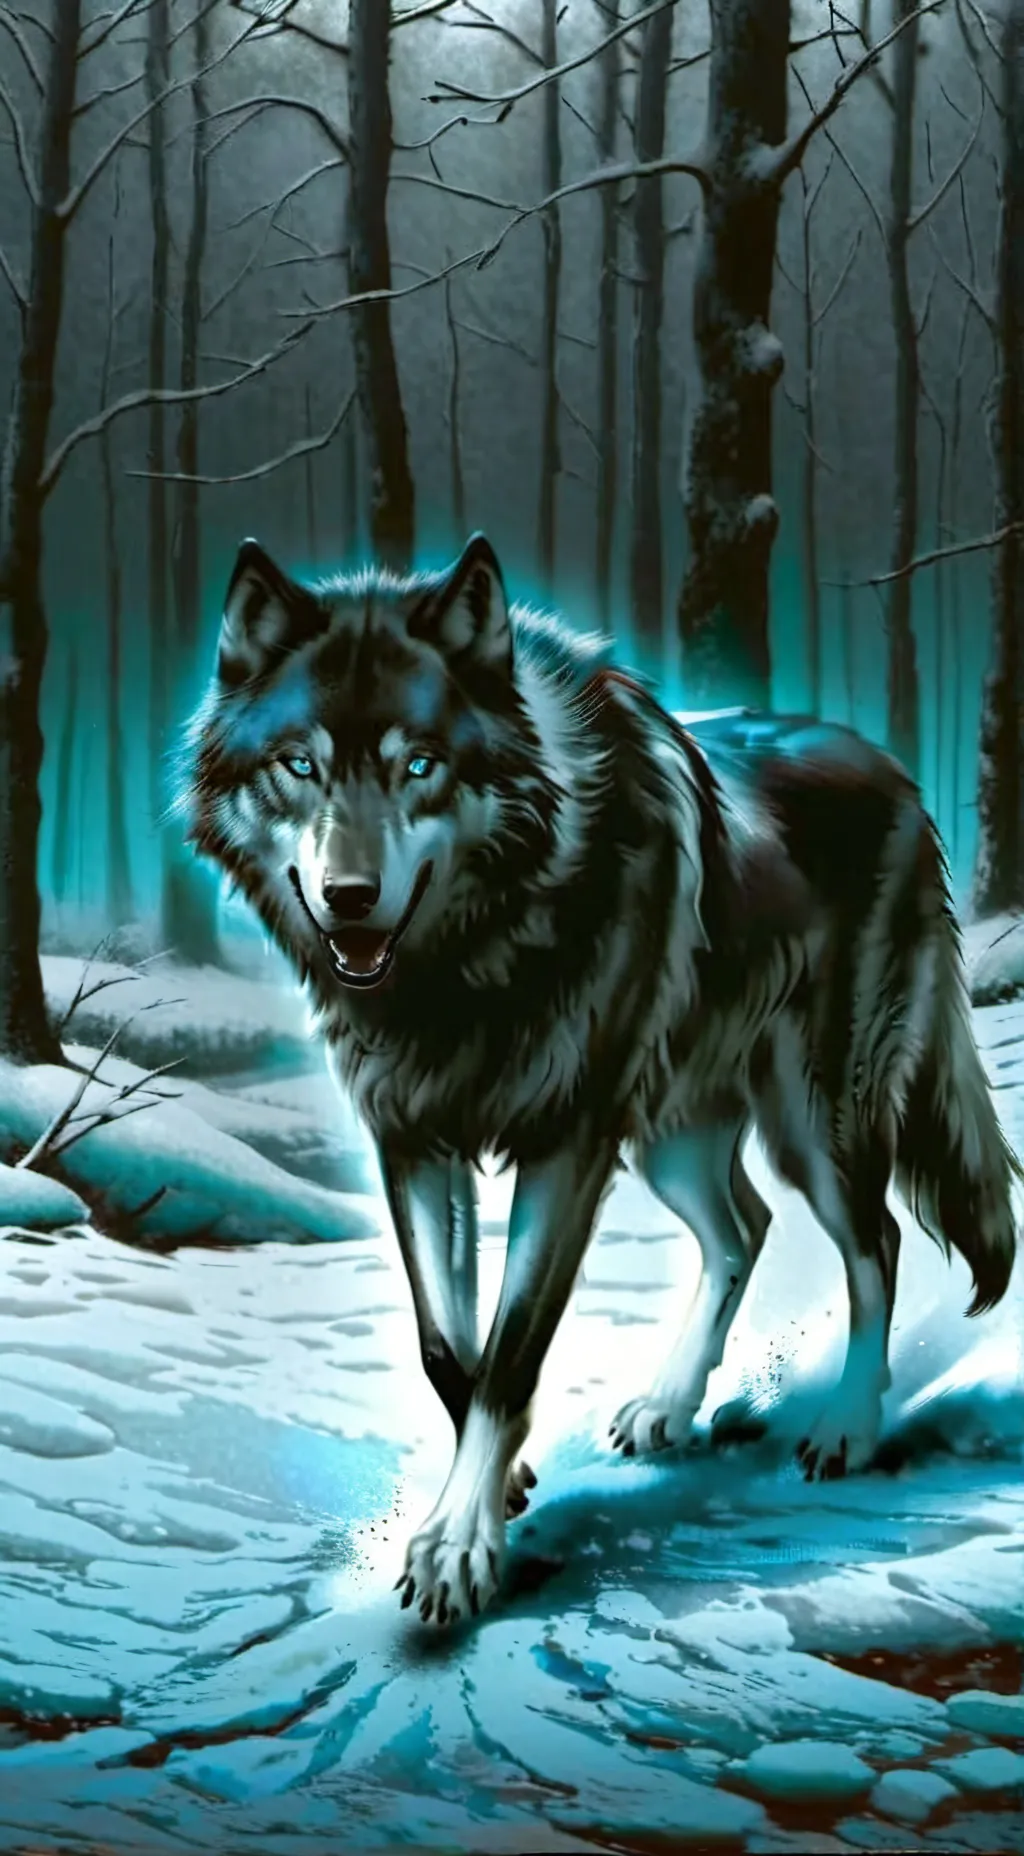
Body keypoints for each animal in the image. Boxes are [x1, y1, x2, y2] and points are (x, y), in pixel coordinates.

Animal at [183, 530, 1021, 1627]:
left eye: (421, 764)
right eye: (299, 765)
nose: (350, 898)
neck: (476, 959)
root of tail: (897, 775)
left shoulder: (567, 1144)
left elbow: (512, 1352)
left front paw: (458, 1546)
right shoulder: (413, 1143)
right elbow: (448, 1350)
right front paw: (498, 1482)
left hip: (813, 1121)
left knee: (872, 1239)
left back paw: (846, 1424)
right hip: (672, 1139)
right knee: (743, 1227)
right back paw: (669, 1402)